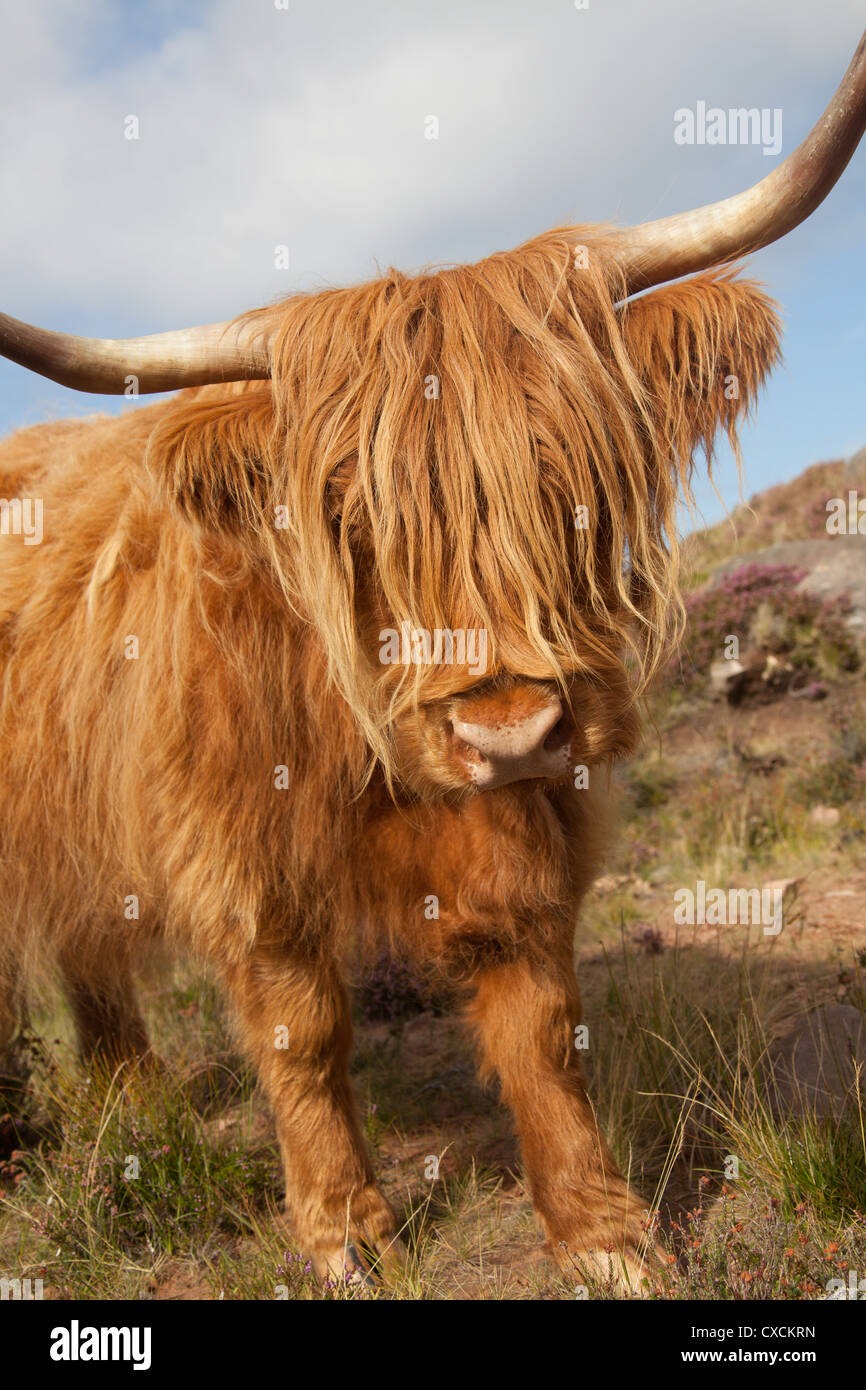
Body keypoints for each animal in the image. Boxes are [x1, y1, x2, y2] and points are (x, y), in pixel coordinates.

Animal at [0, 35, 861, 1289]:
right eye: (355, 520)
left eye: (571, 484)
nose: (503, 726)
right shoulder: (238, 846)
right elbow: (301, 1028)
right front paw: (344, 1232)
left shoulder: (531, 816)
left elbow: (539, 1021)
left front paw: (603, 1235)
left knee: (90, 956)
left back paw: (135, 1105)